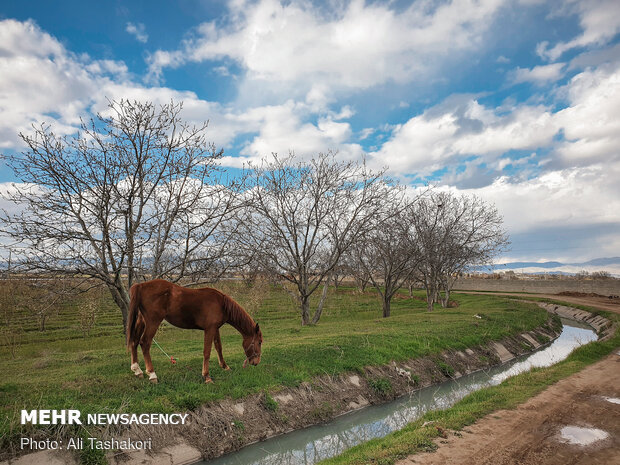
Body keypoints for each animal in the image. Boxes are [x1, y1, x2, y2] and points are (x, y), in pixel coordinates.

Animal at [126, 280, 262, 382]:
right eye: (259, 342)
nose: (256, 362)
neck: (221, 304)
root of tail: (140, 286)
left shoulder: (215, 328)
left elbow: (219, 347)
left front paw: (225, 366)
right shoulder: (209, 329)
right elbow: (207, 352)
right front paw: (207, 376)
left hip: (141, 321)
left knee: (134, 341)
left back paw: (137, 370)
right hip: (153, 322)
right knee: (145, 343)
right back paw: (152, 374)